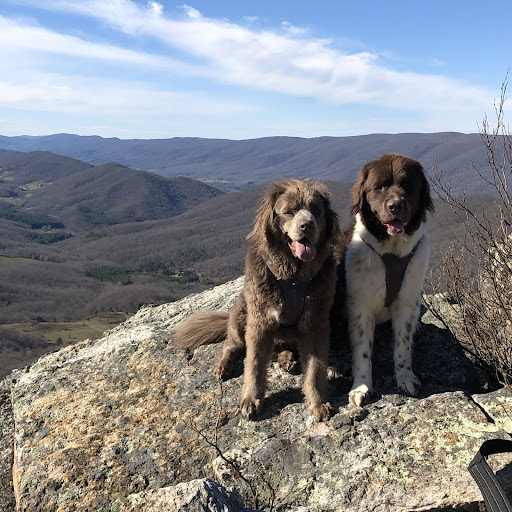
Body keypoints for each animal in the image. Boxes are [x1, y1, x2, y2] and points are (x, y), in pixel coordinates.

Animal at [173, 179, 342, 421]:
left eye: (316, 210)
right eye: (288, 212)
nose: (307, 226)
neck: (293, 276)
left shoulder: (315, 322)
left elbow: (316, 367)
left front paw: (318, 402)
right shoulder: (260, 321)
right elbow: (253, 363)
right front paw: (250, 399)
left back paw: (287, 358)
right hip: (242, 310)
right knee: (231, 343)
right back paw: (224, 365)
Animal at [342, 153, 434, 407]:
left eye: (407, 184)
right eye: (379, 187)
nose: (395, 205)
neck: (392, 251)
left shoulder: (407, 301)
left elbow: (402, 344)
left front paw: (405, 377)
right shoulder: (360, 306)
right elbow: (363, 351)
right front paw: (361, 386)